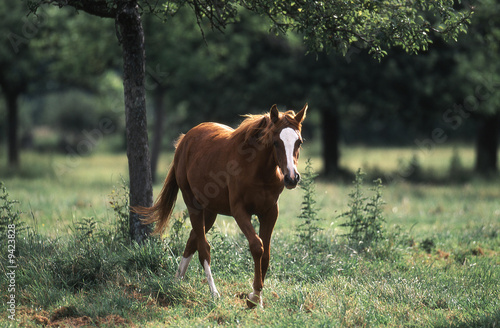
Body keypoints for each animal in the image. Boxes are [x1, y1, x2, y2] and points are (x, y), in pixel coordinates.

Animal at [137, 104, 308, 308]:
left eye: (299, 142)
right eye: (275, 142)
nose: (291, 178)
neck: (257, 170)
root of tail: (185, 140)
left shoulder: (270, 212)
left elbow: (265, 254)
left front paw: (257, 298)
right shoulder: (240, 211)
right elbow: (257, 246)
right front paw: (254, 297)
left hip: (210, 211)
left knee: (192, 240)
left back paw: (177, 280)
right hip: (193, 204)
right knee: (203, 248)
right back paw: (214, 293)